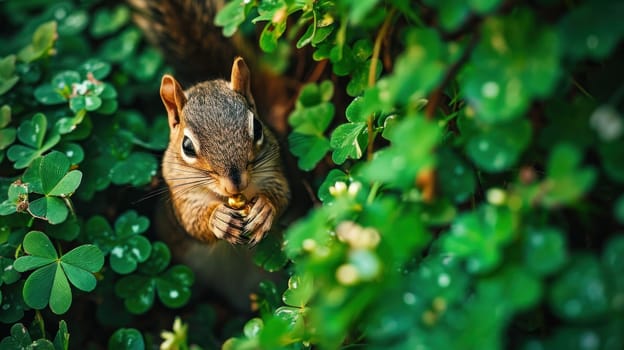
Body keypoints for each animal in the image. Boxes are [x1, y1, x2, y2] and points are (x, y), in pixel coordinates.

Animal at [127, 0, 294, 308]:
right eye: (187, 146)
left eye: (258, 127)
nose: (235, 183)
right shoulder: (179, 197)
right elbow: (193, 221)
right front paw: (217, 219)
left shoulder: (276, 170)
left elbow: (284, 195)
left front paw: (265, 208)